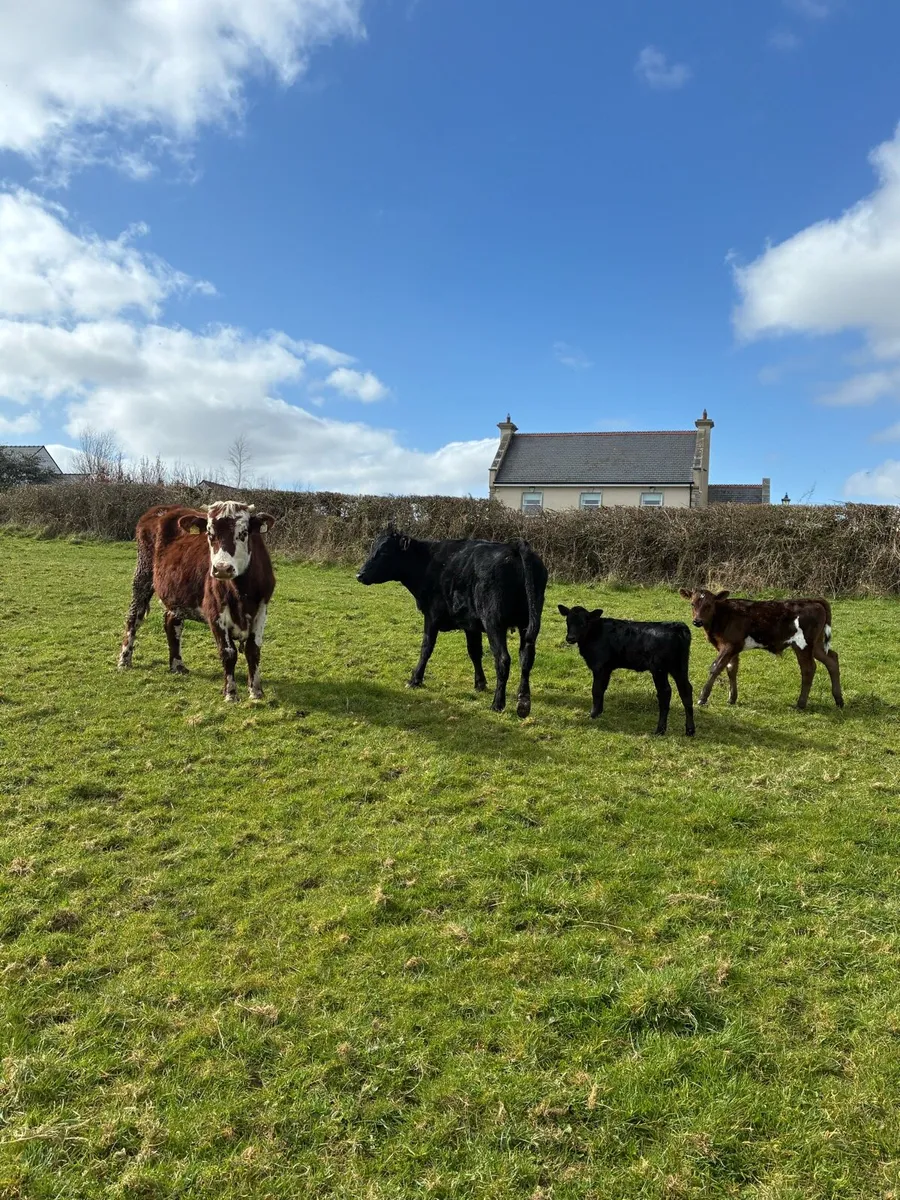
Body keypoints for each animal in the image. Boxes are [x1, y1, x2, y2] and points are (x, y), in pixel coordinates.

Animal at [118, 501, 276, 702]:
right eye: (209, 533)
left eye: (244, 533)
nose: (222, 568)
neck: (242, 593)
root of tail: (162, 509)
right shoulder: (215, 611)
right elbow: (228, 652)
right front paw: (231, 693)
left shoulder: (261, 610)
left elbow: (253, 650)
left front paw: (256, 691)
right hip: (142, 575)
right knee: (134, 617)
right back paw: (124, 659)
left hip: (176, 594)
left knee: (171, 623)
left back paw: (177, 665)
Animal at [356, 527, 547, 717]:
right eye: (373, 548)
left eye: (384, 552)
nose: (360, 574)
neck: (427, 563)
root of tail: (513, 547)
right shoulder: (471, 624)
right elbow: (474, 652)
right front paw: (480, 683)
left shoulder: (432, 615)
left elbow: (426, 648)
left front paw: (415, 679)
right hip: (527, 624)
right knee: (526, 658)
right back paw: (523, 701)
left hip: (494, 622)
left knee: (502, 659)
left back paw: (497, 703)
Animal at [558, 605, 695, 736]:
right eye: (567, 621)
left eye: (583, 623)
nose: (570, 638)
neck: (595, 632)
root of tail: (676, 626)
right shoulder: (606, 668)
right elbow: (602, 689)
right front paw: (599, 712)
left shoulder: (599, 667)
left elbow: (596, 690)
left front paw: (593, 714)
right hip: (679, 667)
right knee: (686, 690)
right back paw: (690, 730)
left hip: (659, 669)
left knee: (665, 692)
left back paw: (660, 730)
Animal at [679, 589, 844, 711]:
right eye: (692, 604)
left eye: (709, 605)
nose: (697, 621)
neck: (723, 615)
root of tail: (812, 600)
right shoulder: (734, 647)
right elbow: (731, 669)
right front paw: (732, 698)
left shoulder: (728, 645)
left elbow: (716, 667)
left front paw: (702, 698)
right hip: (817, 644)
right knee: (832, 660)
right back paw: (839, 700)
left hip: (803, 644)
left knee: (809, 668)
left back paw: (800, 704)